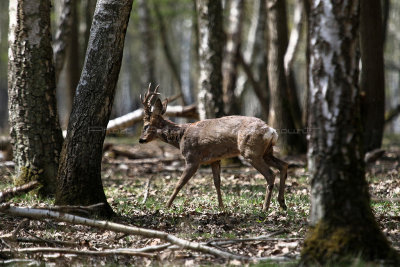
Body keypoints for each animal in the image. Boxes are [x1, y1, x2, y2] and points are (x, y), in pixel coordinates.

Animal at [138, 85, 288, 213]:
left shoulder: (192, 158)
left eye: (145, 125)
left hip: (251, 152)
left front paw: (166, 206)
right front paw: (221, 207)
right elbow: (217, 183)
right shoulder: (214, 159)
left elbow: (179, 183)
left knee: (271, 174)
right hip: (266, 152)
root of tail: (271, 131)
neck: (181, 136)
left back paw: (265, 208)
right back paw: (282, 203)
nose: (141, 140)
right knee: (284, 165)